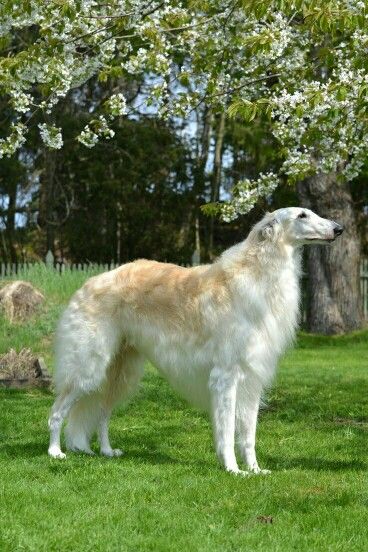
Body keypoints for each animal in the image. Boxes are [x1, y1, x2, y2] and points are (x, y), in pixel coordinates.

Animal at [47, 207, 344, 474]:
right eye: (302, 215)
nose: (339, 228)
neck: (257, 276)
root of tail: (87, 284)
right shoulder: (225, 377)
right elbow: (226, 432)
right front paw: (233, 469)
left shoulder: (252, 378)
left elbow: (248, 436)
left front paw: (255, 469)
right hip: (88, 367)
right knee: (56, 412)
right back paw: (55, 451)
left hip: (120, 374)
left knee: (101, 415)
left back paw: (107, 451)